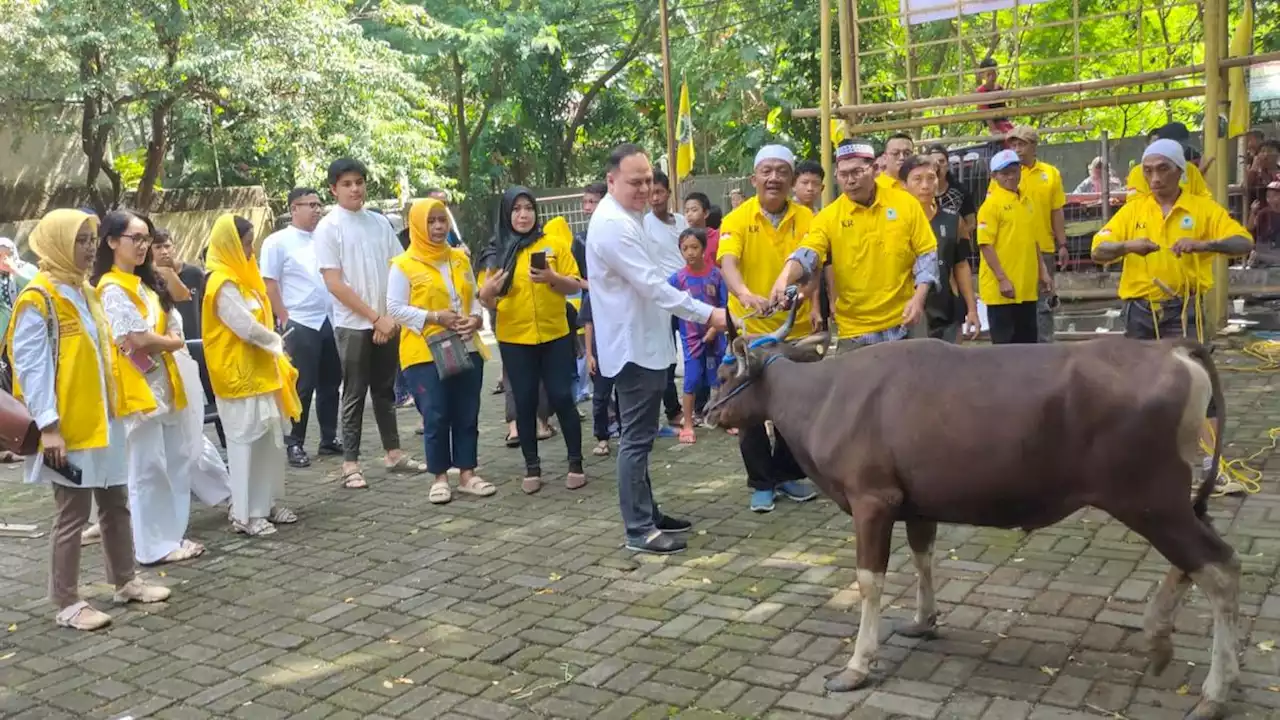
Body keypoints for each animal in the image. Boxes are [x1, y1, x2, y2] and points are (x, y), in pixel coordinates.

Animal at [701, 302, 1239, 717]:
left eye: (725, 372)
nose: (706, 412)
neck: (826, 395)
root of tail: (1173, 349)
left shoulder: (872, 502)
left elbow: (869, 581)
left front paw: (857, 666)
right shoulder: (916, 505)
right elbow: (923, 556)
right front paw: (923, 621)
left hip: (1149, 499)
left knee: (1219, 568)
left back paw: (1212, 691)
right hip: (1169, 501)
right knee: (1200, 558)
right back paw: (1162, 638)